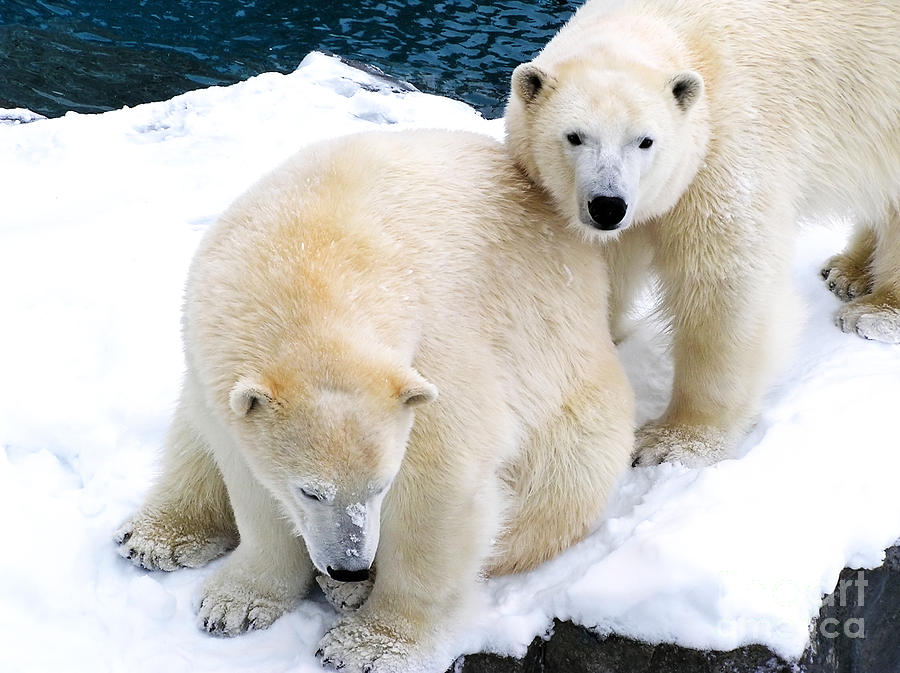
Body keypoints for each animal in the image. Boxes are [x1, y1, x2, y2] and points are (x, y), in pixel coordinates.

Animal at [114, 129, 632, 668]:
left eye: (381, 487)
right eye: (310, 491)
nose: (349, 567)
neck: (313, 256)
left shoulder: (435, 358)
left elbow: (439, 488)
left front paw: (364, 646)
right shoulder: (215, 354)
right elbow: (251, 480)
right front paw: (234, 606)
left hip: (573, 408)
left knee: (548, 497)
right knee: (190, 436)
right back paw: (156, 537)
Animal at [506, 0, 900, 464]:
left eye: (645, 141)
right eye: (574, 136)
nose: (608, 205)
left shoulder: (722, 152)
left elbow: (724, 292)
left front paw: (671, 443)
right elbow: (598, 273)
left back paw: (874, 312)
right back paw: (847, 272)